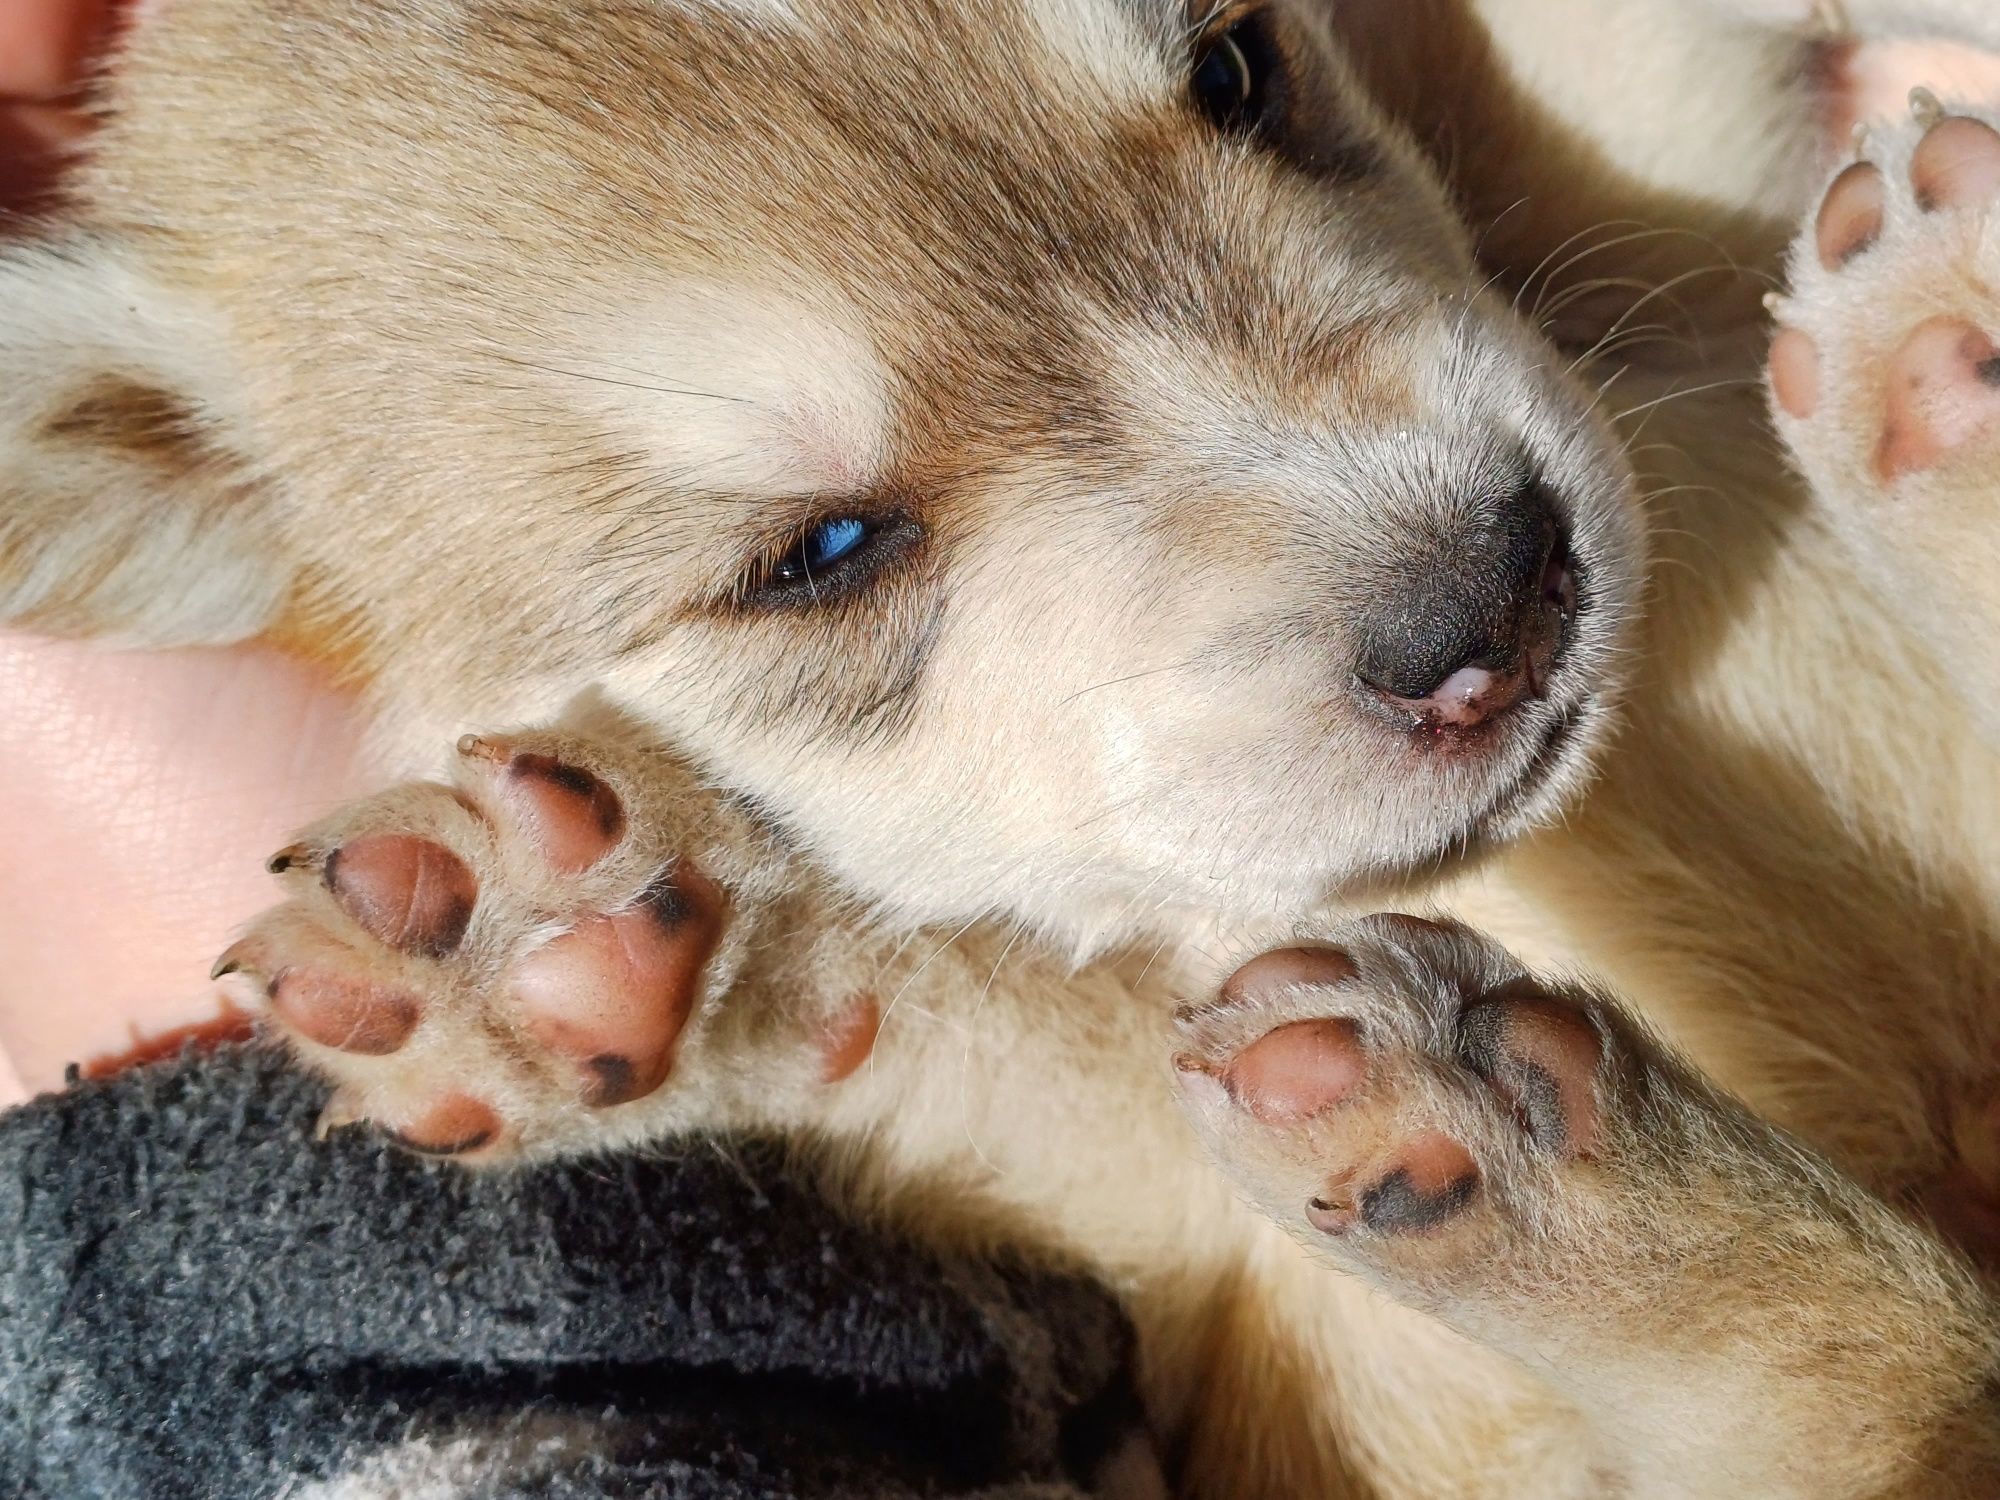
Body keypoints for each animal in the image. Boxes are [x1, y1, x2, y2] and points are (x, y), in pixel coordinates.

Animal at [3, 2, 2000, 1500]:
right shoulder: (1193, 1236)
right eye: (817, 555)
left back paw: (1940, 365)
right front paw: (581, 957)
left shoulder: (1667, 248)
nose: (1491, 597)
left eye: (1238, 69)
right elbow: (972, 1021)